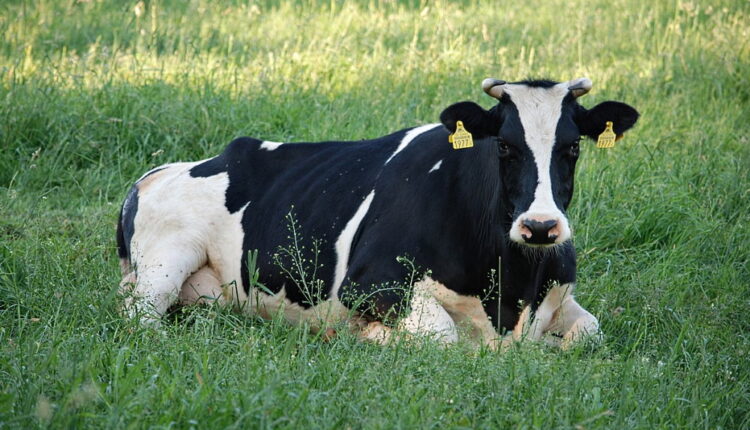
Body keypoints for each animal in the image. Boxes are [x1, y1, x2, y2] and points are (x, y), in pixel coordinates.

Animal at [117, 77, 638, 348]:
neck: (512, 290)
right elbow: (442, 335)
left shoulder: (561, 294)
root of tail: (157, 173)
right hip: (167, 259)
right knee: (139, 316)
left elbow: (588, 331)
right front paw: (372, 338)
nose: (540, 226)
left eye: (573, 147)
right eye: (505, 146)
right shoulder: (369, 285)